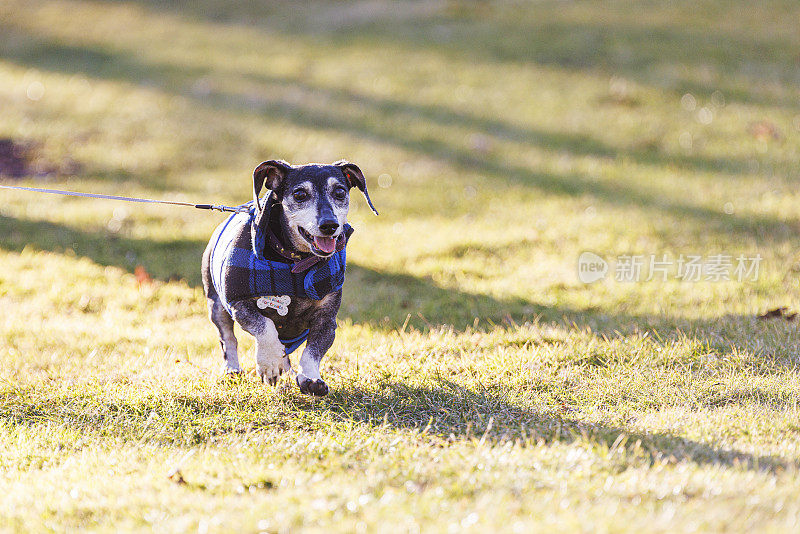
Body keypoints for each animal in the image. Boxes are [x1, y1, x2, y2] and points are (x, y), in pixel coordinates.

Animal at [200, 161, 376, 396]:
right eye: (300, 194)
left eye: (340, 192)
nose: (329, 225)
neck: (295, 263)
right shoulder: (239, 304)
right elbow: (264, 326)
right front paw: (269, 363)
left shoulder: (327, 319)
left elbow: (314, 349)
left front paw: (310, 378)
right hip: (216, 305)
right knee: (227, 338)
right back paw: (233, 369)